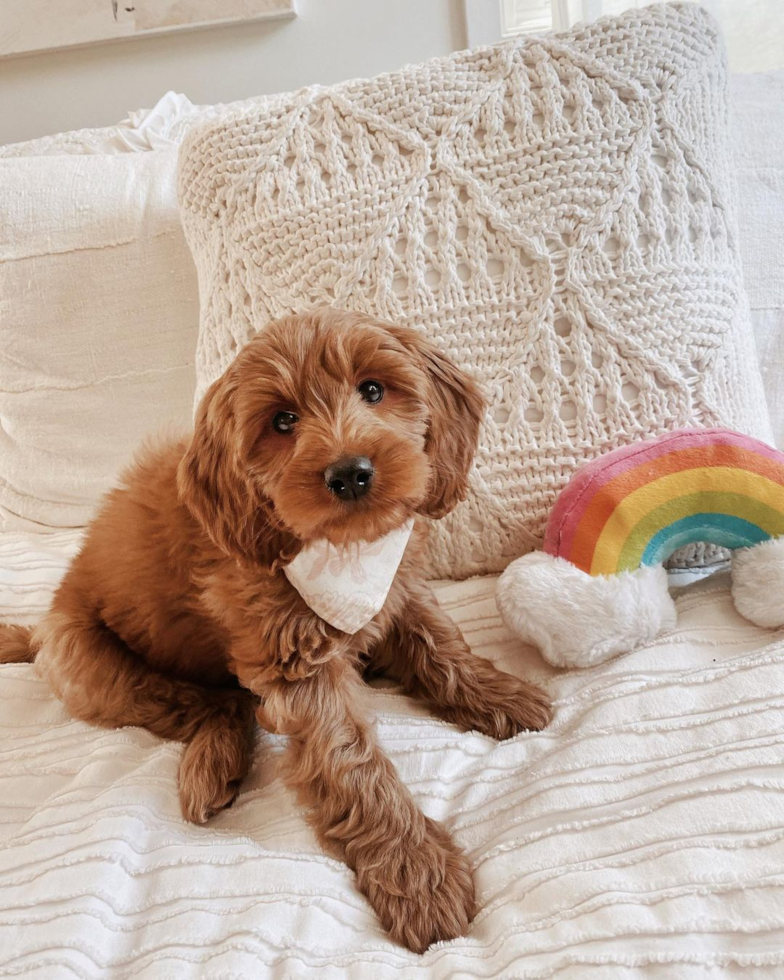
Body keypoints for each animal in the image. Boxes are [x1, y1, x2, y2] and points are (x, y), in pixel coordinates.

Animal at [1, 310, 552, 952]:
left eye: (373, 389)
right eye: (283, 421)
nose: (350, 474)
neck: (340, 552)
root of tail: (38, 630)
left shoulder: (400, 588)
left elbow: (440, 643)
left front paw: (501, 695)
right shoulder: (294, 664)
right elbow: (350, 761)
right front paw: (416, 871)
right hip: (87, 664)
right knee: (216, 704)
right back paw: (213, 764)